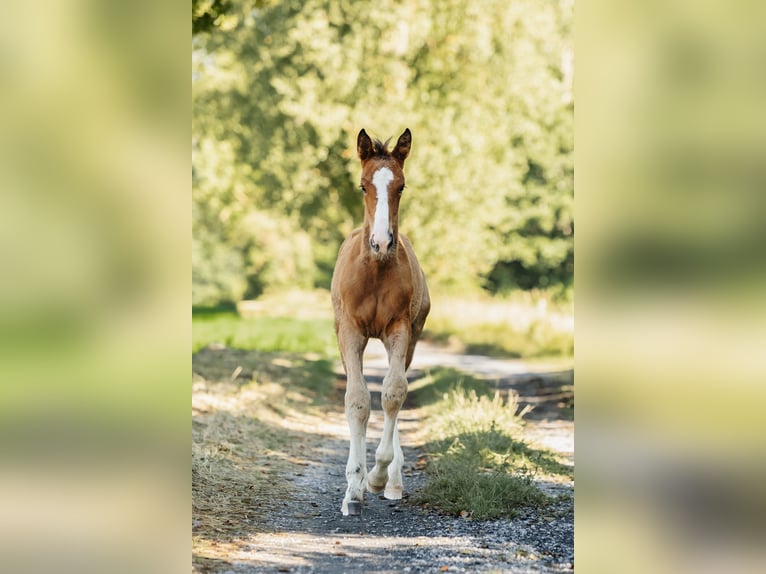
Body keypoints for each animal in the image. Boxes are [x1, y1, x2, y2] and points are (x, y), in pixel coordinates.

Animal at [332, 128, 432, 516]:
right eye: (363, 186)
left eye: (401, 187)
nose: (381, 243)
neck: (374, 271)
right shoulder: (350, 333)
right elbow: (358, 401)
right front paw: (354, 490)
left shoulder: (399, 332)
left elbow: (393, 392)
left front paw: (378, 477)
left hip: (411, 340)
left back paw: (392, 481)